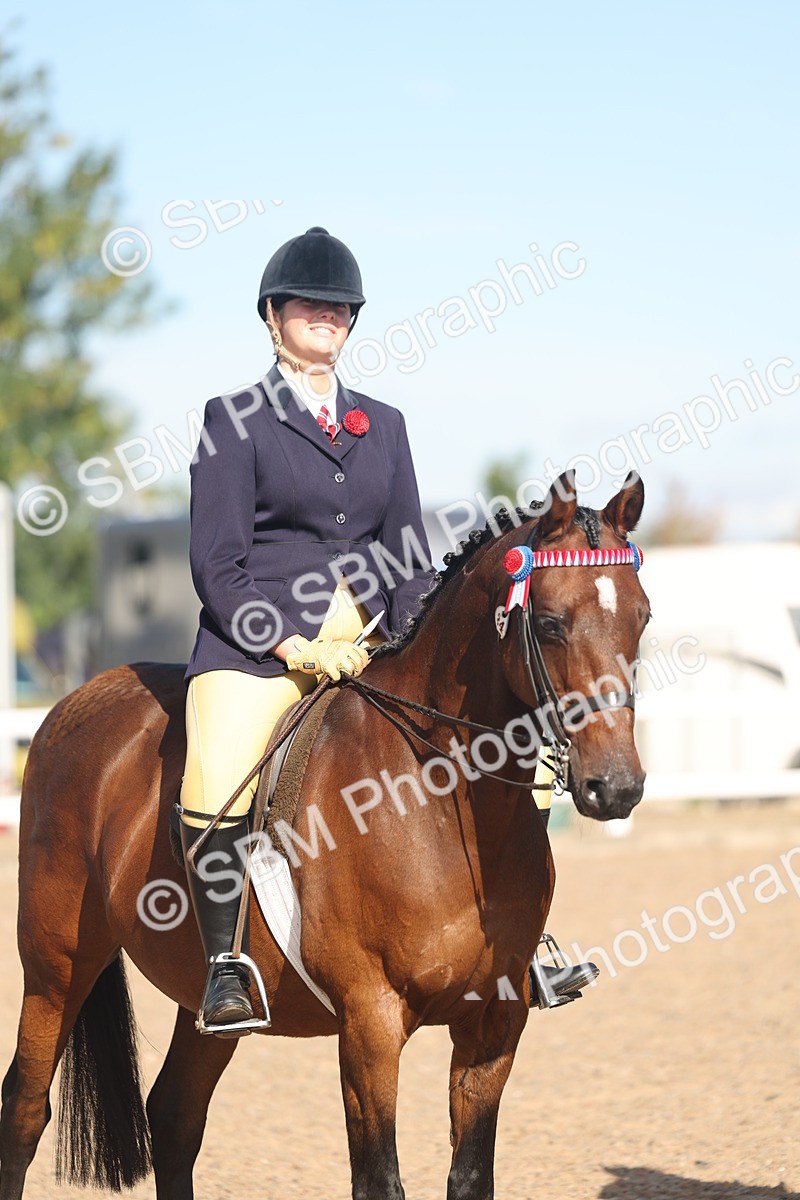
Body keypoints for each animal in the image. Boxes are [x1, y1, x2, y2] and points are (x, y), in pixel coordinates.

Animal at [0, 469, 650, 1200]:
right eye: (549, 623)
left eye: (643, 617)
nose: (616, 786)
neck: (438, 800)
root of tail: (78, 699)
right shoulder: (370, 1022)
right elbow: (379, 1179)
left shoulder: (494, 1024)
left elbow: (470, 1176)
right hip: (55, 966)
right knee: (25, 1109)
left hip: (207, 998)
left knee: (173, 1115)